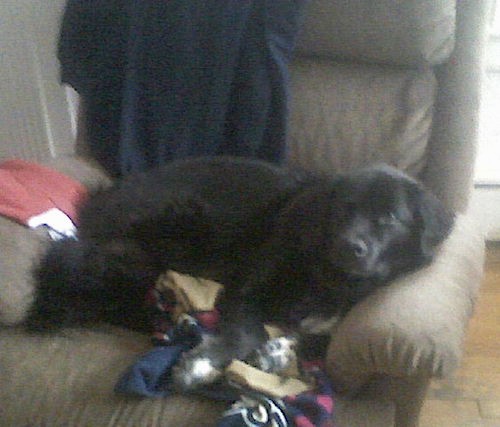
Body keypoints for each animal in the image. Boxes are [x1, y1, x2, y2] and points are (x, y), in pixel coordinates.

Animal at [29, 156, 456, 392]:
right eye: (343, 209)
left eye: (390, 218)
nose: (350, 246)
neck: (331, 279)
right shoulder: (243, 289)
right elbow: (247, 332)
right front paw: (201, 365)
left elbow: (324, 336)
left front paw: (279, 350)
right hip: (176, 233)